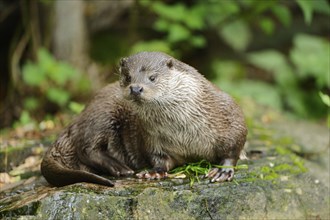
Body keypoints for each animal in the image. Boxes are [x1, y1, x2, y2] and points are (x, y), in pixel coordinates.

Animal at [40, 51, 246, 186]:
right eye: (127, 77)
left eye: (152, 77)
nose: (135, 88)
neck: (183, 131)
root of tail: (74, 121)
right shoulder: (150, 137)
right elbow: (159, 159)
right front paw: (154, 172)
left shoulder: (230, 115)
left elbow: (234, 147)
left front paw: (223, 170)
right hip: (102, 113)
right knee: (86, 148)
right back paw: (119, 167)